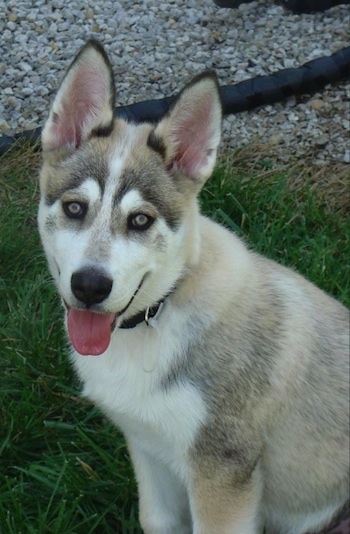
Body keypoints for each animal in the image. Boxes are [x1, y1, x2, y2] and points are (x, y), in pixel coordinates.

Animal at [37, 40, 348, 534]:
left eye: (140, 220)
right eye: (73, 208)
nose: (89, 286)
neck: (157, 316)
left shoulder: (221, 468)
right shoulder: (147, 448)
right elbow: (156, 519)